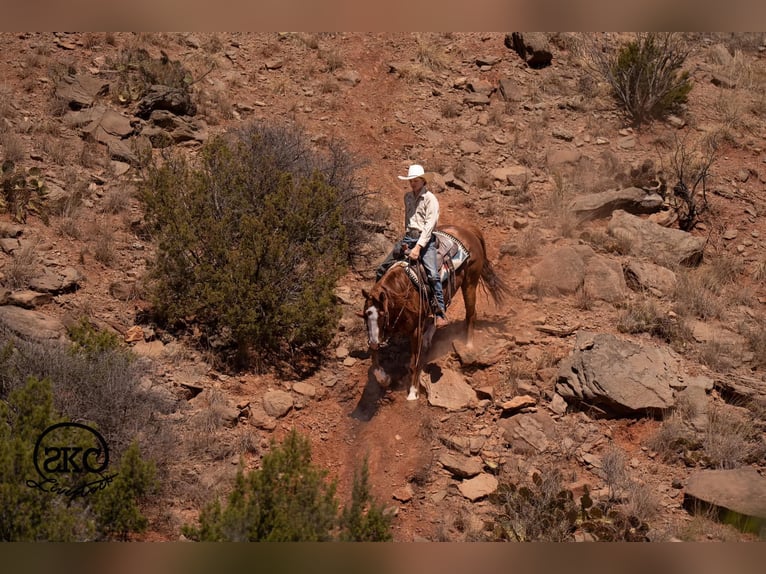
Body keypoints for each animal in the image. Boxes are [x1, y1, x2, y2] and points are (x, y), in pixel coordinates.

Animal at [360, 224, 510, 401]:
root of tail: (469, 231)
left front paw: (412, 393)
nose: (374, 342)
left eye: (383, 316)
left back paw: (468, 345)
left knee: (471, 314)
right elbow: (375, 360)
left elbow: (414, 362)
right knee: (440, 311)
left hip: (470, 283)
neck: (403, 292)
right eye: (364, 316)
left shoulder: (415, 330)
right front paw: (383, 378)